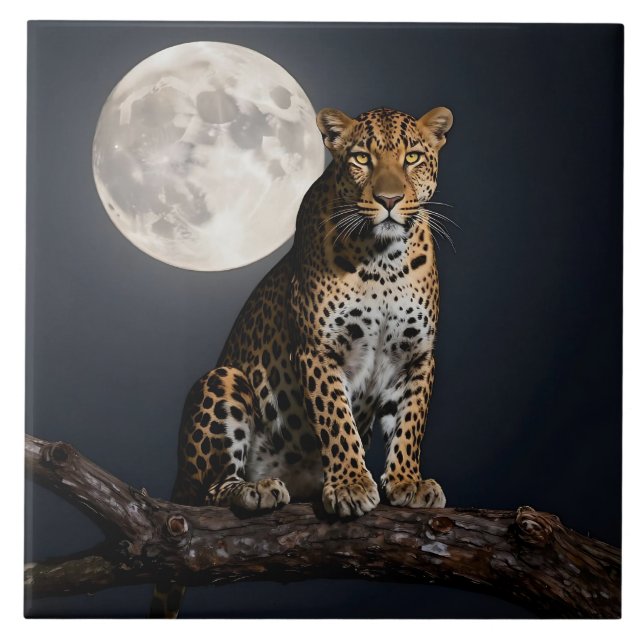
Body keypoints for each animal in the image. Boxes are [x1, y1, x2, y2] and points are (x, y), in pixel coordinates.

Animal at [150, 105, 454, 617]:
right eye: (361, 158)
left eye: (412, 157)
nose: (390, 199)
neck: (384, 260)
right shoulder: (319, 350)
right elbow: (337, 420)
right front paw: (351, 484)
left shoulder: (417, 356)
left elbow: (410, 424)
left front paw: (407, 481)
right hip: (223, 380)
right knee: (209, 492)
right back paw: (253, 489)